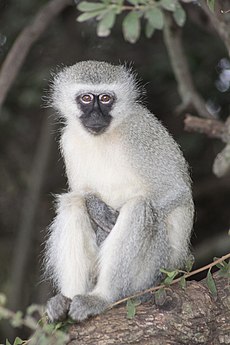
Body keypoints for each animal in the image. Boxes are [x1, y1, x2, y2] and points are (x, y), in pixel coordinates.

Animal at [44, 60, 192, 322]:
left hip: (157, 269)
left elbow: (176, 191)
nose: (96, 115)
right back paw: (67, 300)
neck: (105, 135)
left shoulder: (140, 133)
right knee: (72, 203)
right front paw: (96, 207)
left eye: (105, 98)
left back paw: (102, 298)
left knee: (140, 208)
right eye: (85, 98)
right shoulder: (68, 140)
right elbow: (82, 193)